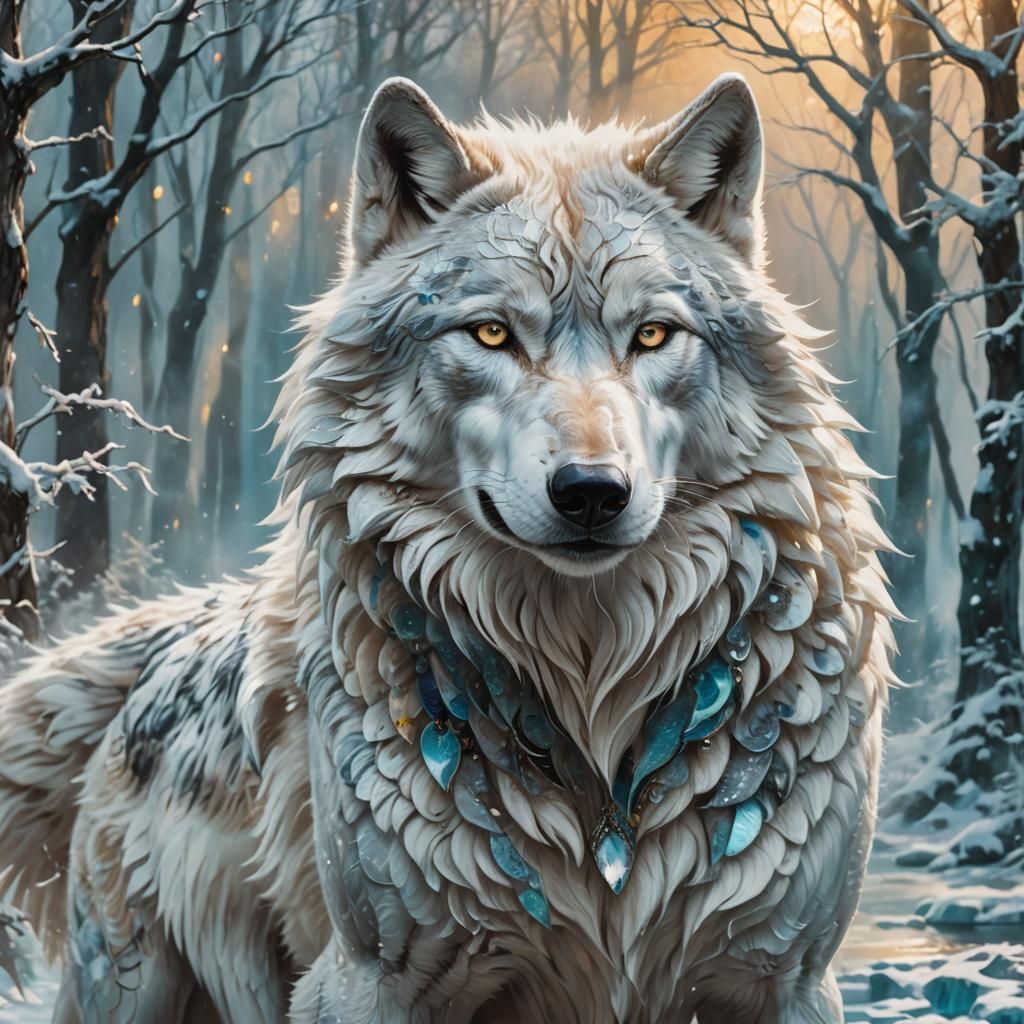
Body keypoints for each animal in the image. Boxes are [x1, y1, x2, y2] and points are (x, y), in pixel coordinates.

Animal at [0, 74, 894, 1023]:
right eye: (492, 334)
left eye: (652, 335)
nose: (591, 492)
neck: (592, 694)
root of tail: (171, 638)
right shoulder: (368, 982)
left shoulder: (789, 982)